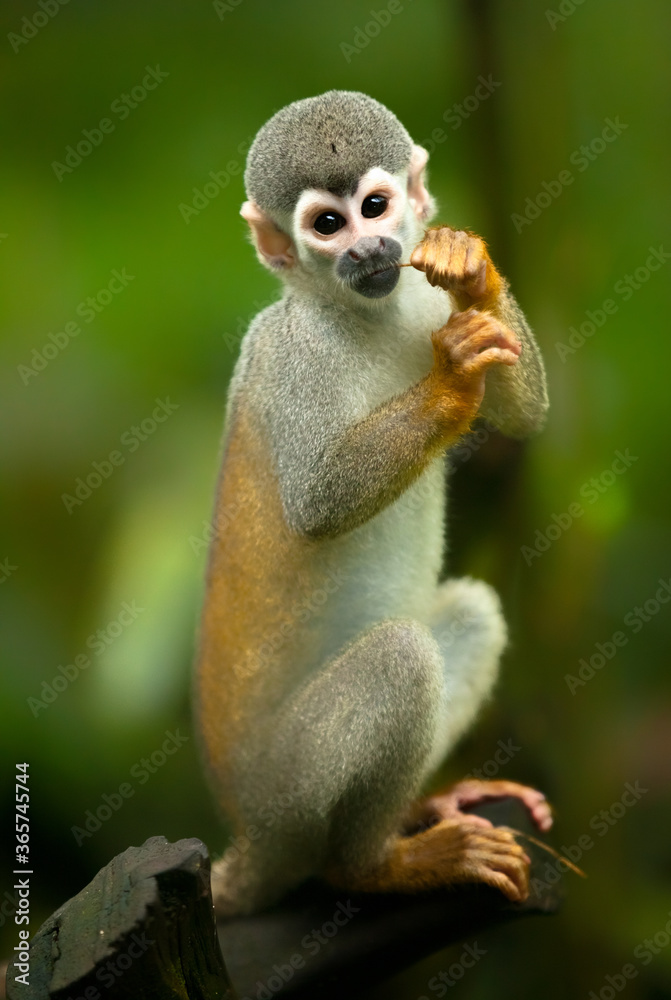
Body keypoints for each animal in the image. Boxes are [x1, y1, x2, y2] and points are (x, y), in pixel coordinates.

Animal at [195, 90, 551, 918]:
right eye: (328, 224)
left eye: (375, 207)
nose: (366, 250)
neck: (365, 315)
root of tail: (252, 843)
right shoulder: (288, 356)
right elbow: (317, 502)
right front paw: (451, 384)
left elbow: (525, 417)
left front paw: (472, 272)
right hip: (290, 794)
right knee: (399, 657)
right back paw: (371, 866)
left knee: (469, 614)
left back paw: (422, 810)